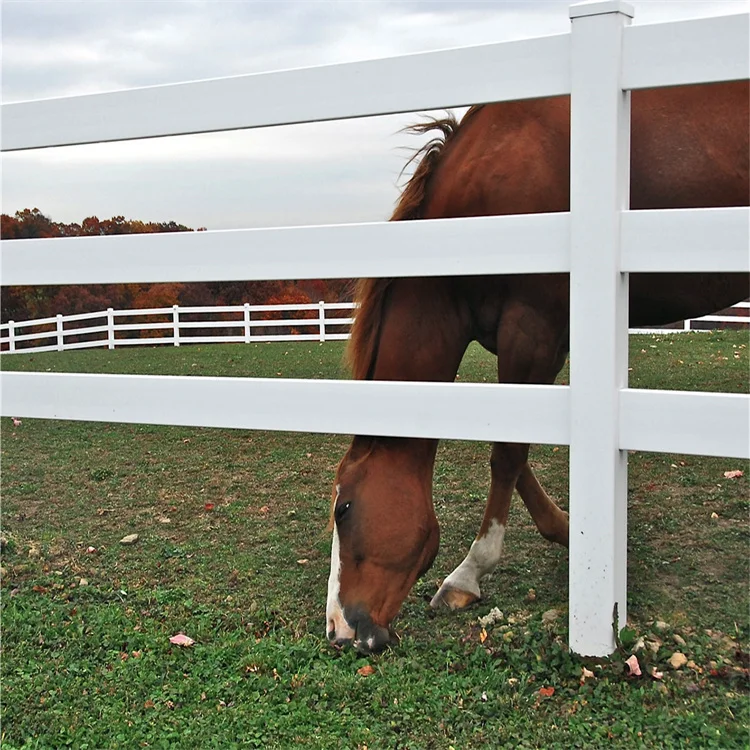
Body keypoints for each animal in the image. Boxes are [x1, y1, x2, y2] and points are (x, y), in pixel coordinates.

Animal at [326, 80, 749, 653]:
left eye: (344, 510)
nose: (340, 627)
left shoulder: (530, 330)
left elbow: (507, 452)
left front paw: (467, 575)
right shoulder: (546, 340)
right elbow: (517, 447)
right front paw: (575, 531)